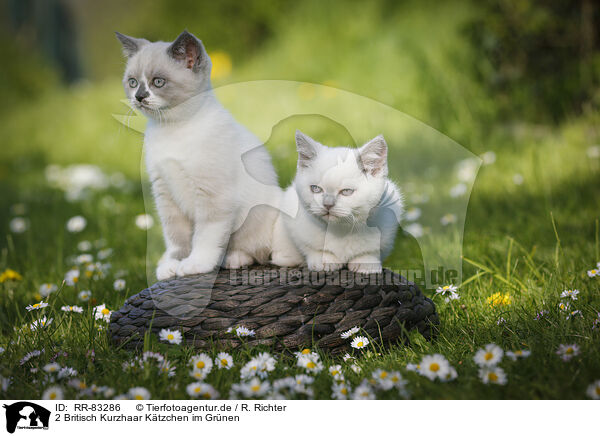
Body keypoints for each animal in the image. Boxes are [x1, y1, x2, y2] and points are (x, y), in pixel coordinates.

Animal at [116, 32, 296, 282]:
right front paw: (173, 264)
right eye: (132, 82)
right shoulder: (165, 194)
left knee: (264, 251)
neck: (172, 128)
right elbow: (175, 237)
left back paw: (234, 258)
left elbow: (205, 236)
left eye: (158, 82)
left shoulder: (213, 194)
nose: (139, 97)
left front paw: (196, 264)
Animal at [272, 130, 404, 272]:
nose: (327, 204)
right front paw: (324, 259)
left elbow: (372, 250)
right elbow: (307, 245)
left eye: (346, 191)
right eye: (316, 189)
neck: (341, 230)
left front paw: (366, 262)